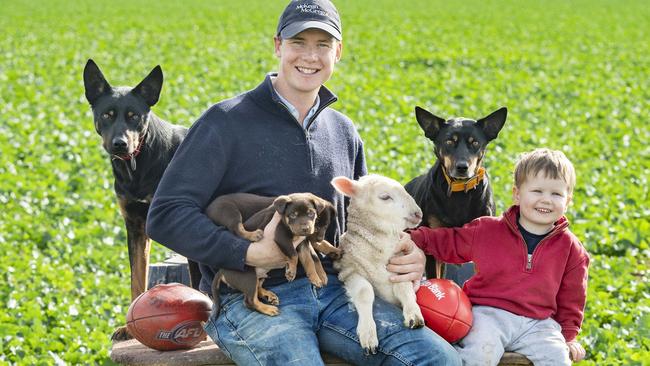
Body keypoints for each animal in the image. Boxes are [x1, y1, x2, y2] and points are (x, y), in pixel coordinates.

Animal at [83, 58, 200, 338]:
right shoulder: (136, 226)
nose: (120, 144)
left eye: (134, 116)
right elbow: (136, 280)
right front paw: (128, 328)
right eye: (107, 114)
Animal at [206, 193, 340, 316]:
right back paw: (268, 309)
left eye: (311, 214)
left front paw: (315, 277)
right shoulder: (281, 236)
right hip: (247, 272)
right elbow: (295, 255)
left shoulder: (303, 243)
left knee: (257, 288)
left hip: (260, 275)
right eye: (293, 215)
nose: (306, 229)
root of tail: (221, 271)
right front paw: (291, 272)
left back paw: (269, 296)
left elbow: (309, 260)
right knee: (249, 301)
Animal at [330, 174, 426, 354]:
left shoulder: (399, 267)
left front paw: (414, 314)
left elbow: (405, 289)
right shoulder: (349, 270)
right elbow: (364, 292)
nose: (418, 213)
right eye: (385, 197)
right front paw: (368, 333)